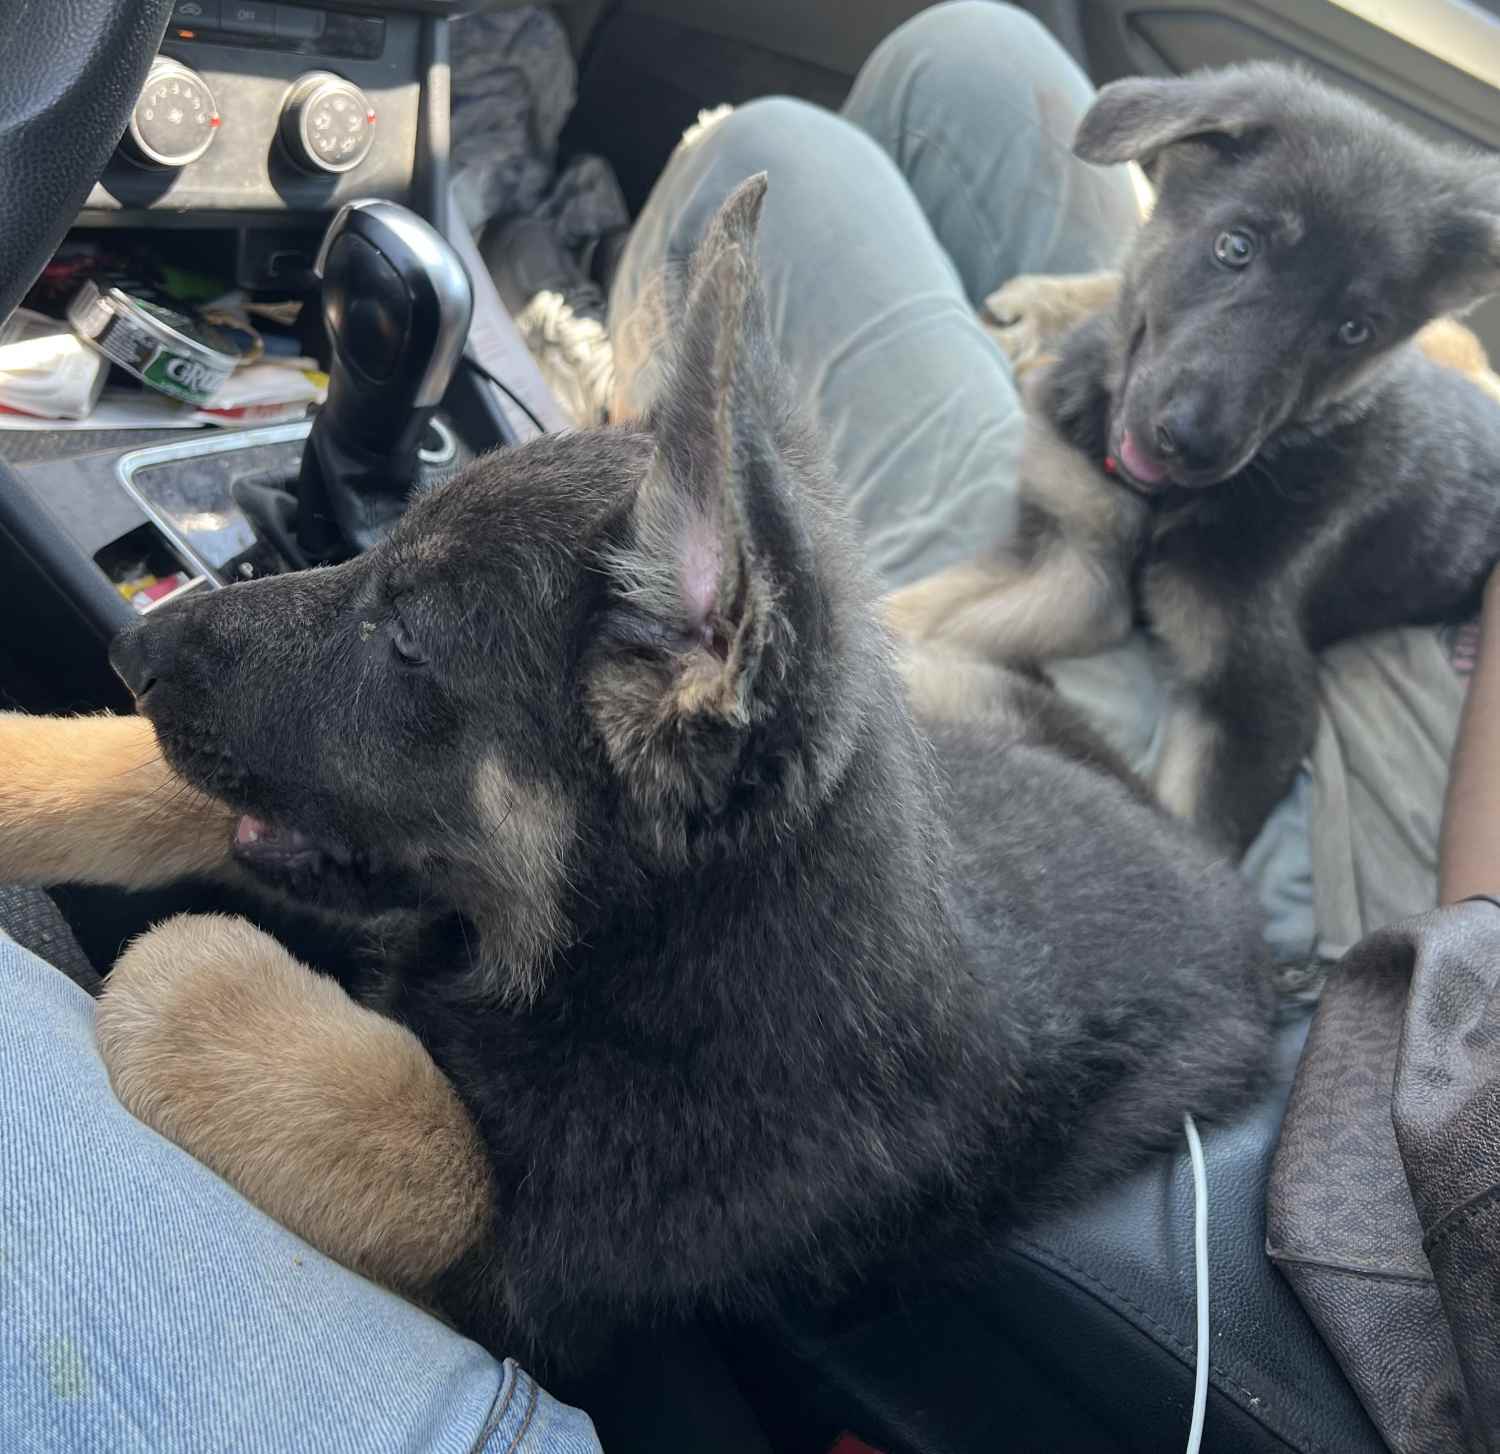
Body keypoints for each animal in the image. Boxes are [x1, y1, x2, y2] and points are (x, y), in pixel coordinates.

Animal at [0, 178, 1272, 1374]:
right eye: (375, 560)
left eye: (406, 639)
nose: (132, 650)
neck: (649, 953)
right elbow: (159, 784)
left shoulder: (544, 1275)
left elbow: (434, 1152)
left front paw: (204, 995)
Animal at [888, 65, 1500, 852]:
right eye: (1235, 248)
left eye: (1354, 330)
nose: (1191, 444)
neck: (1168, 505)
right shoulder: (1074, 555)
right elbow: (908, 610)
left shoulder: (1255, 706)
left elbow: (1171, 830)